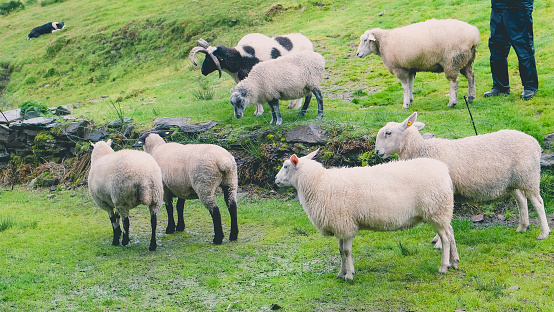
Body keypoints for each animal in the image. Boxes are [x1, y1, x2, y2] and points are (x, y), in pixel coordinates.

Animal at [272, 149, 458, 280]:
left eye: (286, 166)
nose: (275, 180)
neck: (318, 183)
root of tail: (444, 170)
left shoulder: (345, 224)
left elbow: (346, 251)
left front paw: (349, 275)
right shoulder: (340, 225)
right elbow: (340, 251)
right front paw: (341, 273)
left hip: (436, 210)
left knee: (445, 238)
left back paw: (443, 267)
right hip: (442, 212)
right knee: (450, 232)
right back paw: (454, 262)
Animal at [374, 112, 548, 246]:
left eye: (388, 133)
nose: (377, 151)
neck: (423, 150)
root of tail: (535, 142)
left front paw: (439, 243)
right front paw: (437, 239)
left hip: (529, 176)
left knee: (538, 202)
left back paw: (544, 233)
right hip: (512, 181)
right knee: (521, 200)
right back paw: (523, 227)